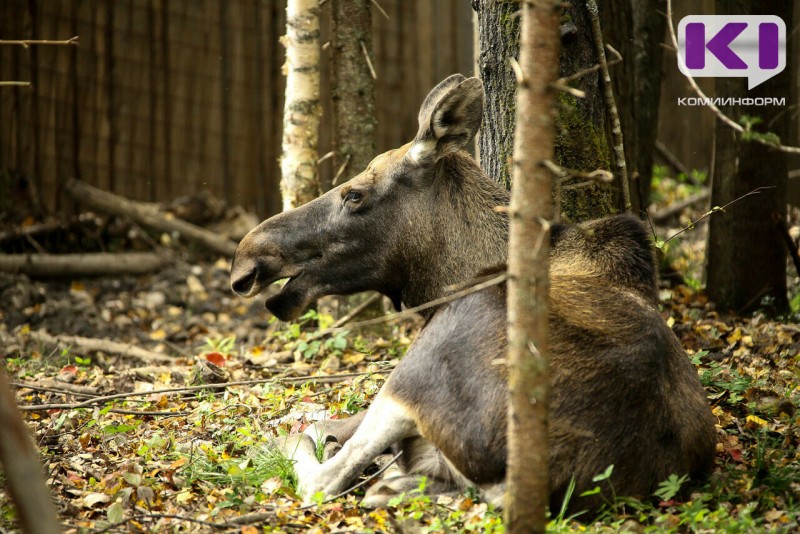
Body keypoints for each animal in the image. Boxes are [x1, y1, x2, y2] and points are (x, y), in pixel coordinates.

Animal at [230, 74, 712, 516]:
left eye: (354, 194)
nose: (246, 259)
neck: (453, 273)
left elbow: (326, 425)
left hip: (420, 369)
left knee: (324, 476)